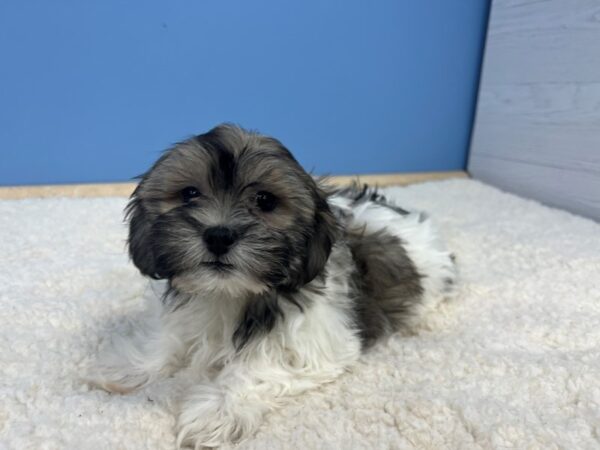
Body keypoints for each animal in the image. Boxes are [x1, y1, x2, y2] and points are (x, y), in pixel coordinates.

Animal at [90, 125, 454, 448]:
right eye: (190, 193)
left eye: (265, 201)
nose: (218, 235)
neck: (230, 294)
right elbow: (167, 338)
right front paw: (129, 365)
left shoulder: (315, 342)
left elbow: (258, 368)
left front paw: (220, 409)